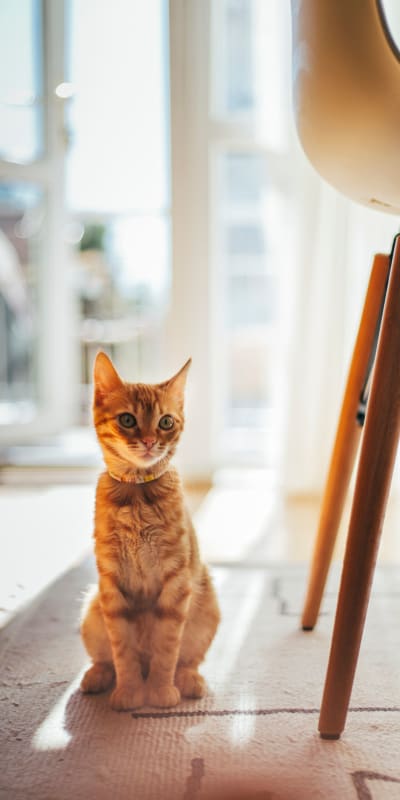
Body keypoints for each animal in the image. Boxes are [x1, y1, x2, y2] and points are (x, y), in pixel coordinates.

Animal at [80, 354, 220, 708]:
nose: (148, 441)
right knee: (104, 659)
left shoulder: (176, 584)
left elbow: (167, 649)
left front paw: (158, 690)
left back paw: (189, 680)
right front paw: (130, 691)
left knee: (188, 660)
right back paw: (97, 676)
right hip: (92, 610)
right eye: (128, 420)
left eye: (166, 422)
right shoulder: (112, 585)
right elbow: (123, 651)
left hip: (207, 610)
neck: (137, 496)